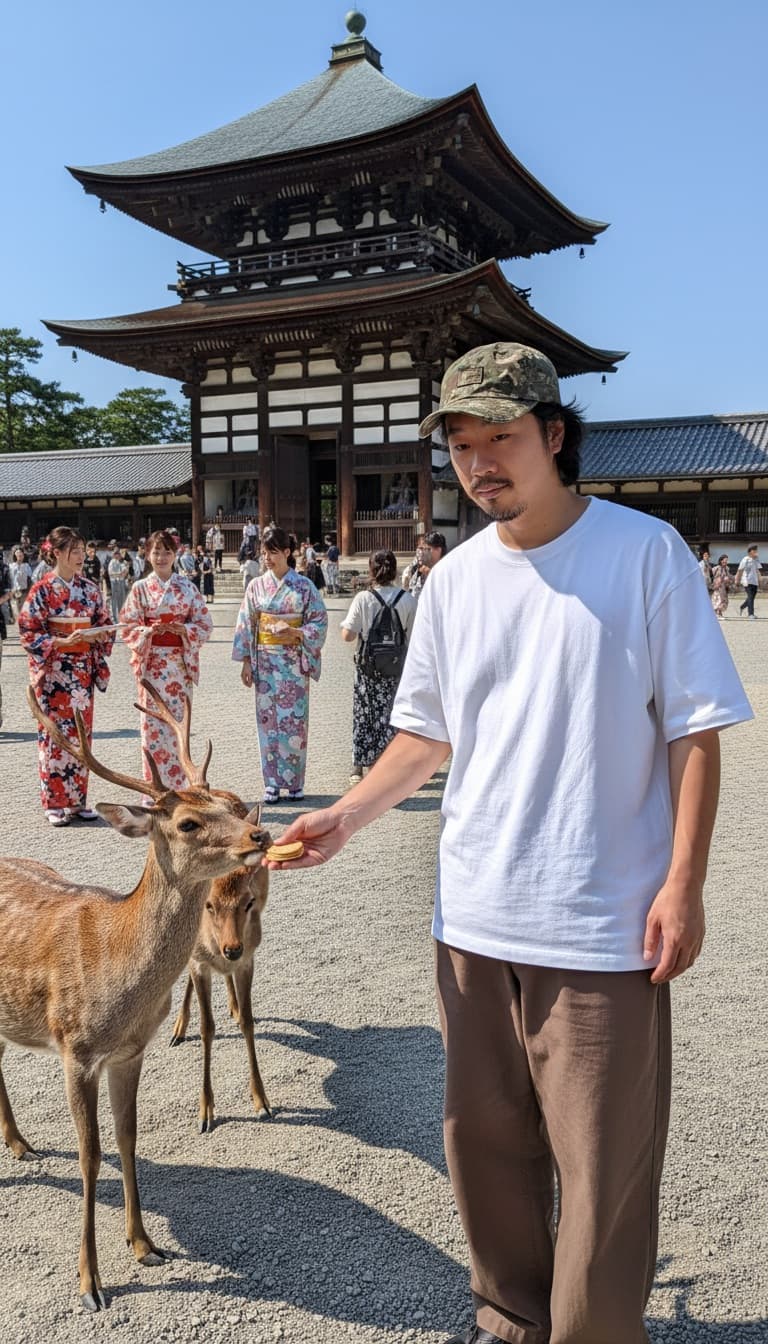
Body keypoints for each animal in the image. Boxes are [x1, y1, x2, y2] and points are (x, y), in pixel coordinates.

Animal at [0, 683, 271, 1313]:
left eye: (229, 806)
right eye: (190, 822)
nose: (260, 833)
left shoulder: (128, 1052)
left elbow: (127, 1138)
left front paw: (145, 1244)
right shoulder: (75, 1049)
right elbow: (90, 1154)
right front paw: (90, 1282)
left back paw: (20, 1144)